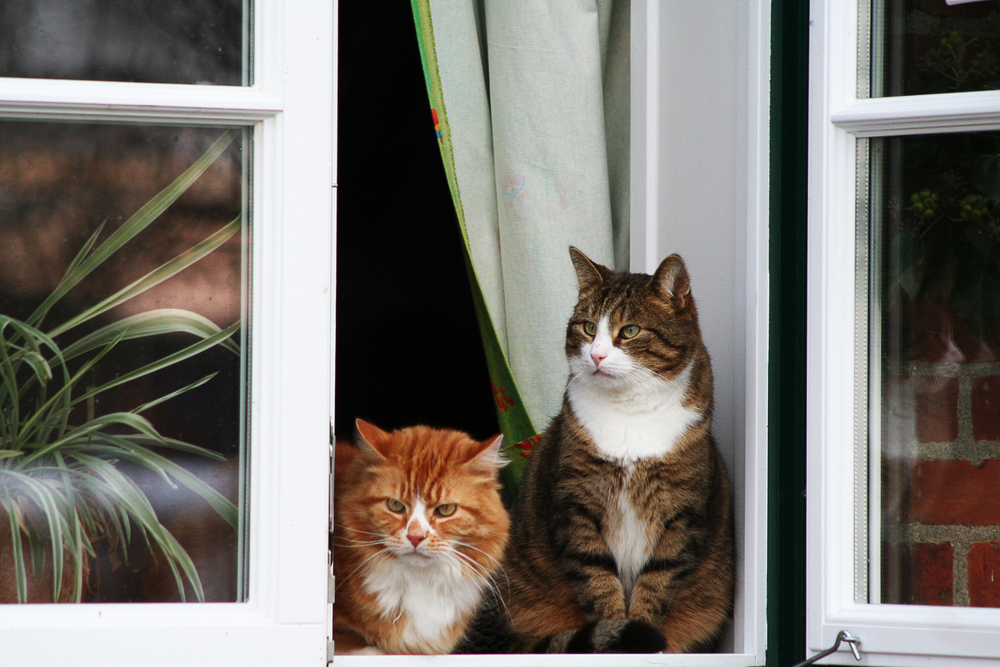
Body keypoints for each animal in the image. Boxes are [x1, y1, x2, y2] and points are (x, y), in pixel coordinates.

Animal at [458, 249, 732, 652]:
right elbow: (597, 582)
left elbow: (656, 582)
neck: (629, 411)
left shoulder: (681, 514)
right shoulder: (577, 506)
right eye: (588, 328)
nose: (597, 356)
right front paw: (619, 637)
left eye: (630, 331)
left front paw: (642, 635)